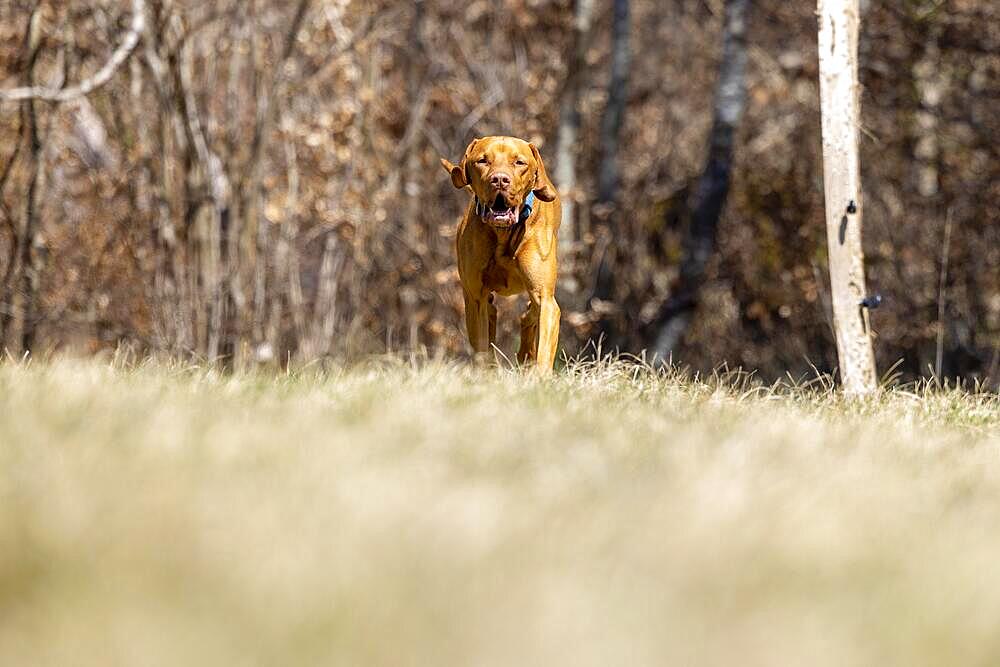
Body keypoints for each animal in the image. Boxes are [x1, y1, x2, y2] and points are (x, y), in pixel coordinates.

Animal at [440, 137, 564, 370]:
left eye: (519, 162)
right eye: (482, 161)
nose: (499, 180)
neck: (503, 233)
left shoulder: (545, 297)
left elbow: (543, 347)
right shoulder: (475, 298)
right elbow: (481, 344)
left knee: (529, 314)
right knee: (492, 314)